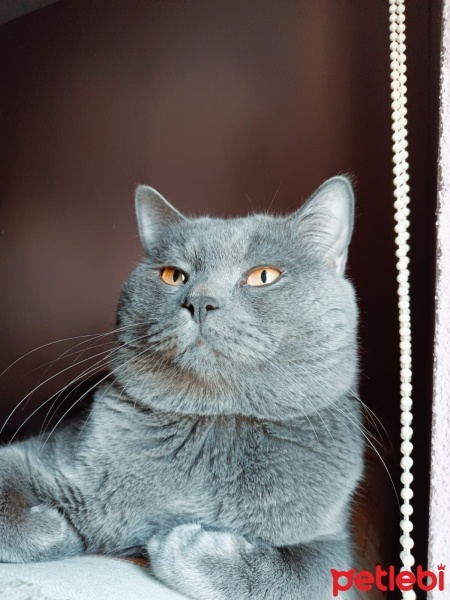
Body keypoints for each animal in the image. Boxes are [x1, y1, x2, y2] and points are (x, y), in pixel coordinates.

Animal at [0, 176, 362, 596]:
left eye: (263, 276)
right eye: (174, 275)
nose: (200, 301)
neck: (213, 426)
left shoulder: (332, 539)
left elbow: (300, 577)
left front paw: (180, 542)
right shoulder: (51, 452)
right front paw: (59, 527)